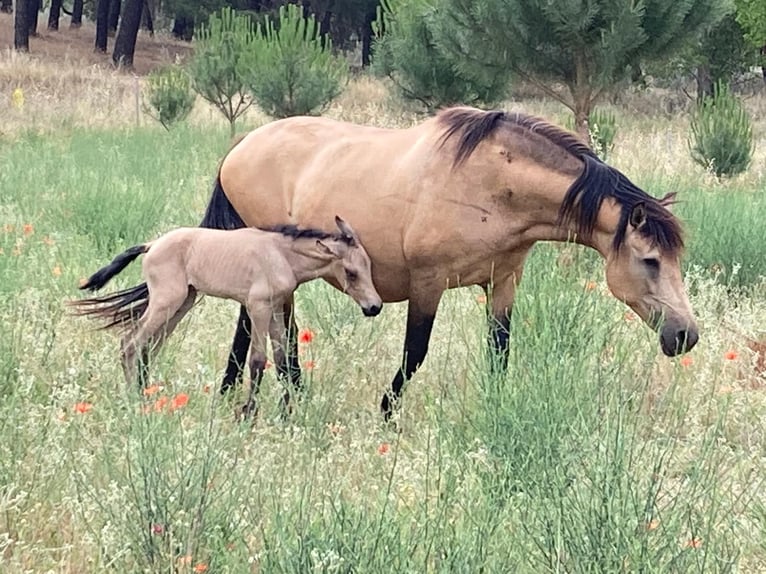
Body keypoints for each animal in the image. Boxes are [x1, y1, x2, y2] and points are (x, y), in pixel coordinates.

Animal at [69, 216, 382, 418]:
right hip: (166, 301)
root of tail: (152, 244)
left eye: (368, 265)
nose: (374, 306)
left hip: (183, 302)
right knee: (131, 342)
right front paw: (249, 413)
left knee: (149, 346)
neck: (281, 255)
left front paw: (286, 411)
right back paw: (133, 398)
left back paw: (146, 394)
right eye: (351, 272)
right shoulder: (257, 307)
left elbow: (282, 359)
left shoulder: (274, 309)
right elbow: (258, 360)